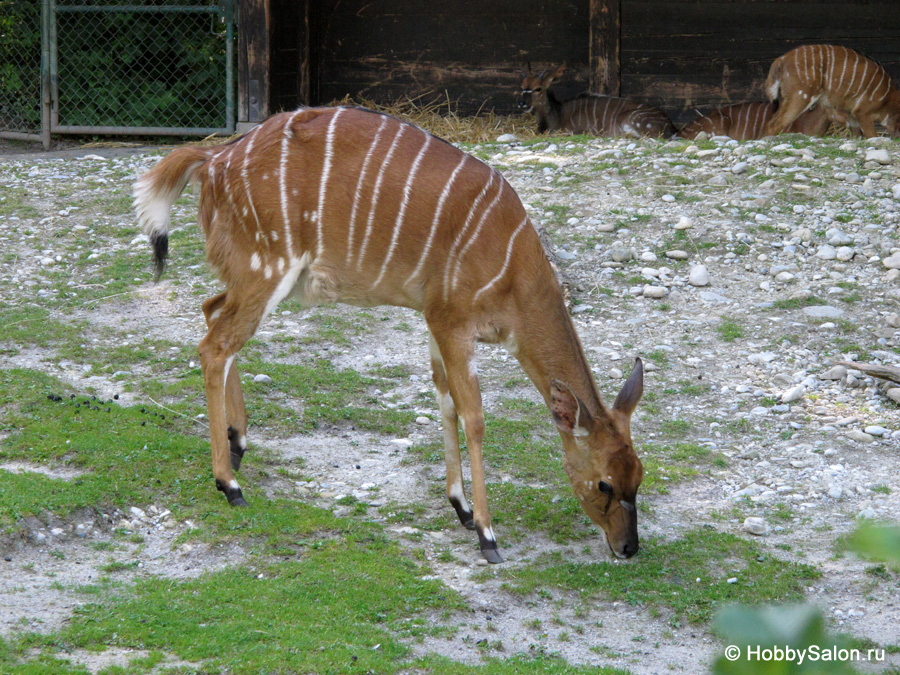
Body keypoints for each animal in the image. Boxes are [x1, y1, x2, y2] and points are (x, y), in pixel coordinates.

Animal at [130, 105, 644, 564]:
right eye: (604, 482)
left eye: (639, 475)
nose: (628, 548)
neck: (514, 270)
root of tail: (212, 159)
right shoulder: (454, 322)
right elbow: (474, 416)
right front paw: (486, 533)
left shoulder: (434, 320)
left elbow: (445, 402)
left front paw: (460, 507)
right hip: (267, 268)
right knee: (214, 346)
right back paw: (229, 483)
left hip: (254, 276)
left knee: (211, 310)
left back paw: (238, 444)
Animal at [764, 44, 900, 139]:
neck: (887, 98)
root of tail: (780, 60)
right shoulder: (862, 112)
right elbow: (872, 136)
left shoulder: (851, 115)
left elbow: (856, 136)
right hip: (800, 96)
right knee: (774, 124)